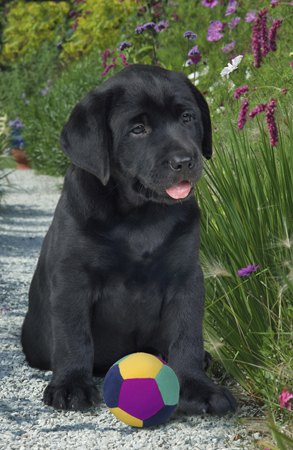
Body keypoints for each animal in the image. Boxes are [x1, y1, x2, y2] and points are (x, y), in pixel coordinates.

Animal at [21, 63, 236, 414]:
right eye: (138, 129)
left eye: (187, 117)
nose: (184, 161)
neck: (141, 216)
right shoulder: (72, 278)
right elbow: (73, 335)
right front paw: (71, 385)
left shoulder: (186, 277)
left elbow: (187, 334)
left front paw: (197, 387)